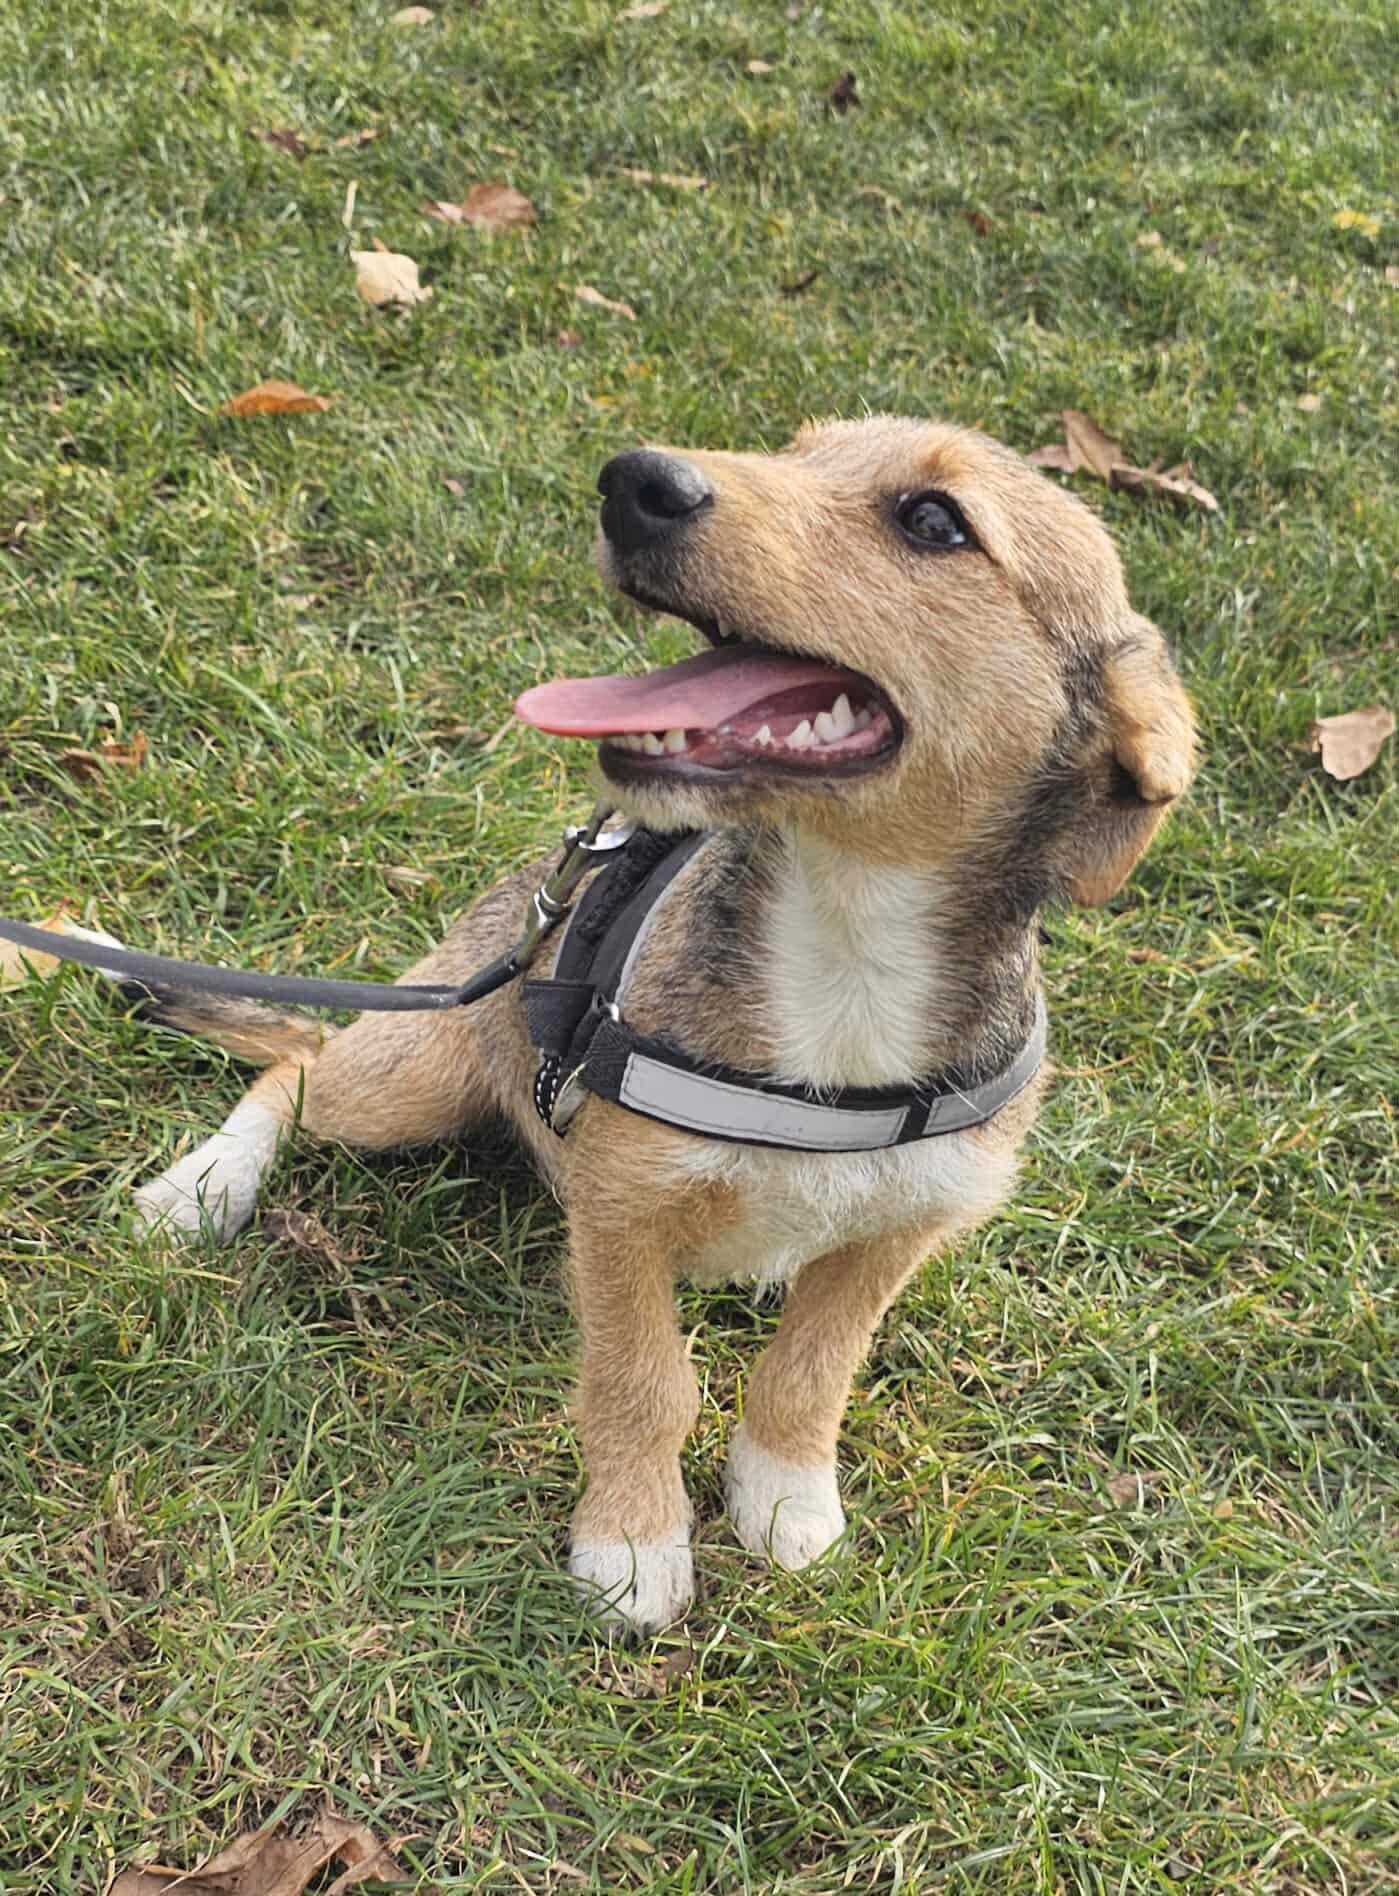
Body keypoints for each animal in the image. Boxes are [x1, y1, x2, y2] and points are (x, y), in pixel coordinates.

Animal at [121, 416, 1194, 1634]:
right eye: (800, 447)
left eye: (934, 520)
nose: (635, 481)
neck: (847, 945)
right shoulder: (623, 1211)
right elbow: (643, 1385)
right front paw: (633, 1541)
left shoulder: (902, 1229)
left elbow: (808, 1372)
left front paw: (785, 1493)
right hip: (417, 1072)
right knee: (292, 1072)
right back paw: (200, 1191)